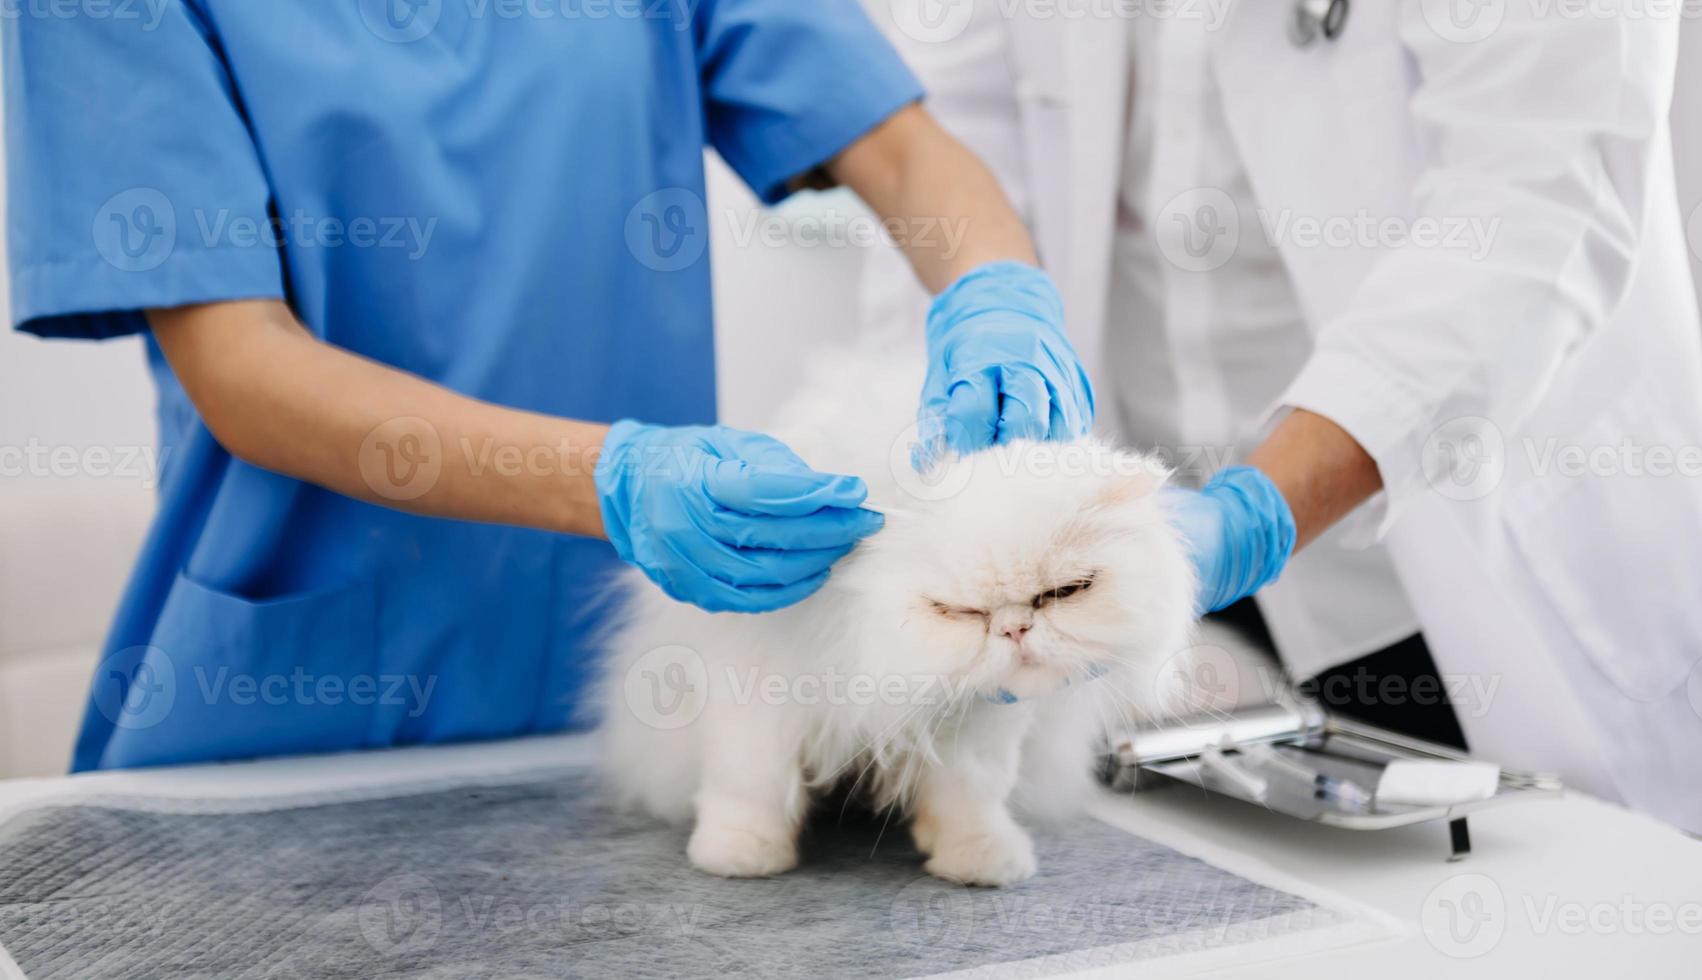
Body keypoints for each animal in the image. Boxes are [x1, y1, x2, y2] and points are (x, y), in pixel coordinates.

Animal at [599, 340, 1198, 884]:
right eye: (958, 611)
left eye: (1065, 592)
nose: (1015, 628)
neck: (860, 640)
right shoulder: (758, 691)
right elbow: (750, 782)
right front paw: (739, 855)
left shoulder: (978, 724)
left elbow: (970, 796)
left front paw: (979, 861)